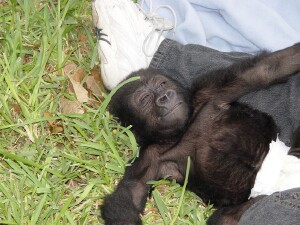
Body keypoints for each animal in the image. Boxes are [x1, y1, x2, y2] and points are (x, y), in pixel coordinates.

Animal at [101, 44, 300, 225]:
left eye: (162, 84)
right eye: (145, 99)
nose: (164, 96)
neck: (184, 128)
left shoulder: (211, 91)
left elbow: (265, 70)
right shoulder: (149, 158)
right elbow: (130, 195)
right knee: (228, 218)